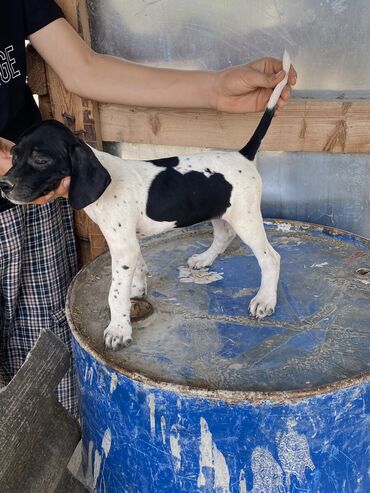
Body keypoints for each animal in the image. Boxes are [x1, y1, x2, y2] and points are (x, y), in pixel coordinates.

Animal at [0, 51, 290, 350]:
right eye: (14, 155)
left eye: (41, 160)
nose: (4, 185)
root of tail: (243, 154)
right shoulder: (130, 241)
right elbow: (137, 268)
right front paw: (137, 290)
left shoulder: (122, 246)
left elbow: (115, 293)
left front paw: (119, 328)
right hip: (220, 211)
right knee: (224, 236)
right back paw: (204, 259)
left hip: (246, 218)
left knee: (271, 258)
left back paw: (265, 300)